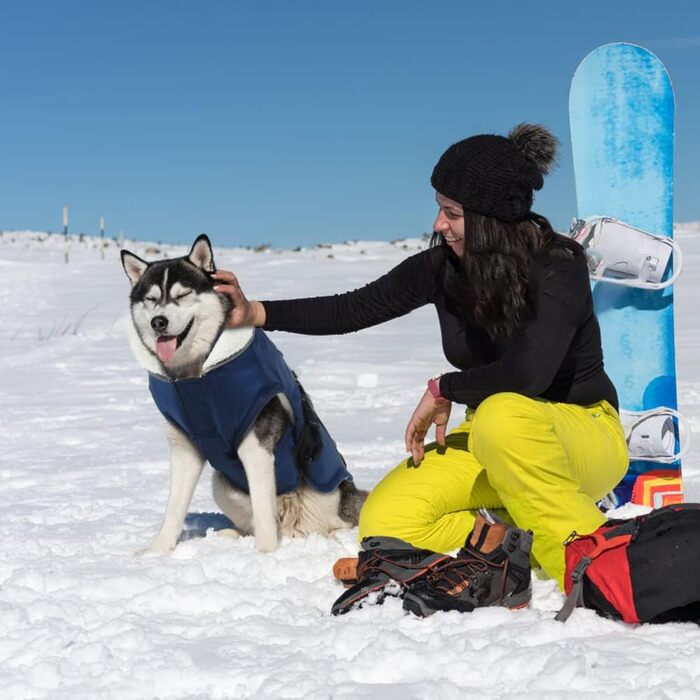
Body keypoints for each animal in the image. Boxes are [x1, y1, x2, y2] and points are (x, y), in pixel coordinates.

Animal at [121, 235, 366, 552]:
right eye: (151, 299)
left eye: (183, 294)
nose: (158, 322)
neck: (194, 378)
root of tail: (293, 526)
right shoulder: (184, 448)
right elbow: (173, 509)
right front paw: (157, 551)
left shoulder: (257, 445)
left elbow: (263, 513)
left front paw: (265, 555)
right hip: (223, 484)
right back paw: (228, 535)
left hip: (329, 494)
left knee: (331, 523)